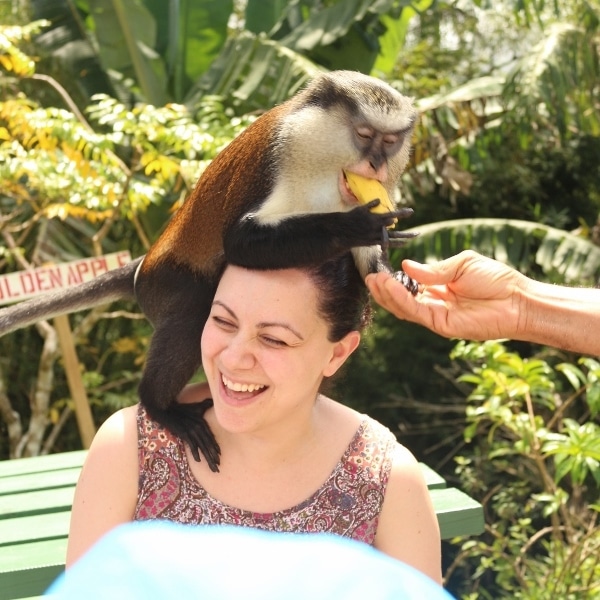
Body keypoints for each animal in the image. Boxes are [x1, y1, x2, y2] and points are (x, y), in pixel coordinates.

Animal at [0, 70, 420, 474]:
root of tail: (143, 266)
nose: (377, 164)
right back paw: (159, 405)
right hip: (165, 284)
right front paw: (355, 227)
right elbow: (238, 242)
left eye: (390, 142)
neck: (325, 166)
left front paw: (396, 279)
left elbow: (368, 262)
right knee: (193, 309)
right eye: (364, 135)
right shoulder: (283, 158)